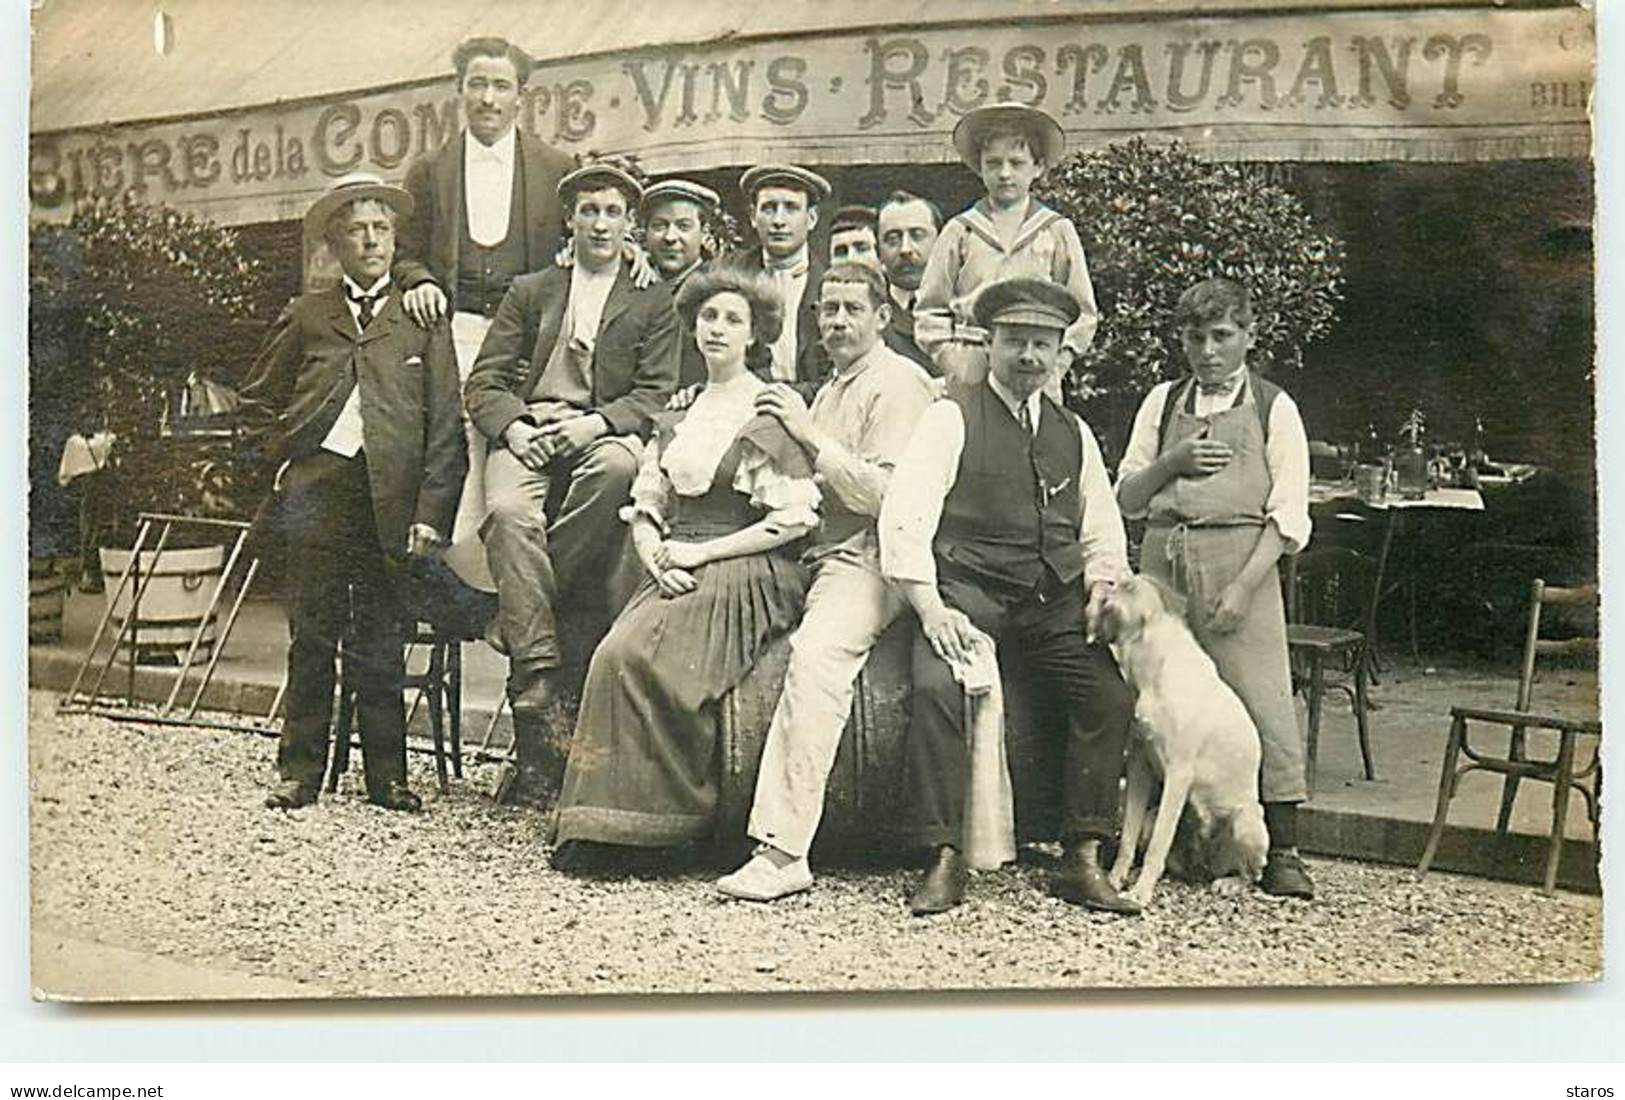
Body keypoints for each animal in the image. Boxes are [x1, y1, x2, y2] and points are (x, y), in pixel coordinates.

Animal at [1092, 571, 1267, 903]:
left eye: (1127, 585)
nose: (1104, 581)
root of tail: (1202, 867)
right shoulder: (1138, 765)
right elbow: (1129, 836)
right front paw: (1114, 879)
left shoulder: (1179, 773)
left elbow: (1159, 844)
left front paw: (1140, 893)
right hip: (1157, 818)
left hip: (1247, 822)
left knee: (1252, 874)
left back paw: (1230, 883)